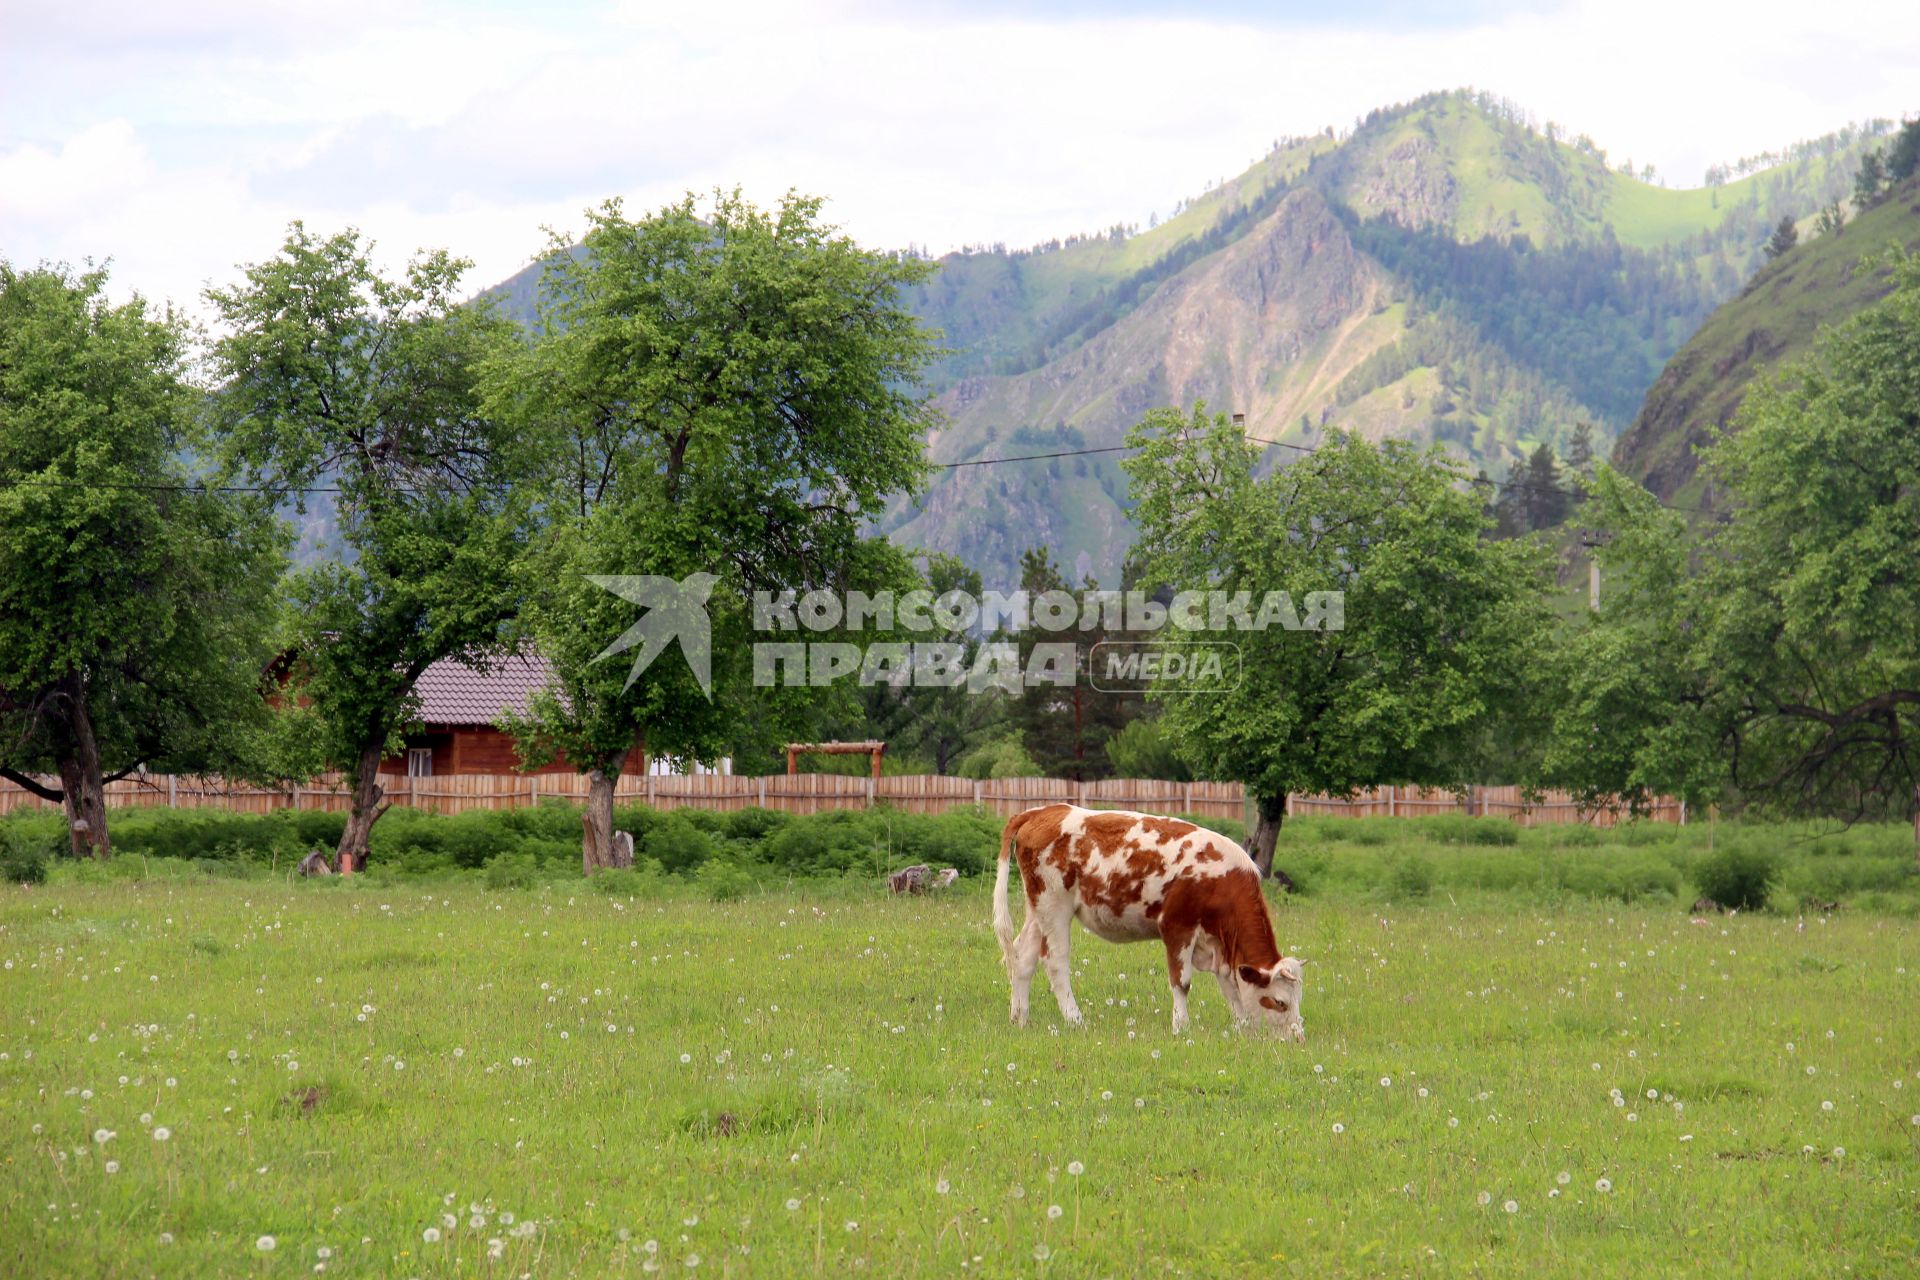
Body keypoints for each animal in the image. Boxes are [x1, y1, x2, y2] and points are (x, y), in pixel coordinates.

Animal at [990, 809, 1305, 1043]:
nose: (1298, 1038)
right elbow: (1182, 982)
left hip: (1038, 908)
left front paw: (1241, 1027)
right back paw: (1075, 1019)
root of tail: (1042, 811)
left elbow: (1230, 987)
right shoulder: (1178, 927)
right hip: (1055, 905)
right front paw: (1181, 1027)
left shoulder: (1219, 945)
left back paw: (1020, 1018)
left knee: (1023, 956)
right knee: (1055, 961)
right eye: (1280, 1002)